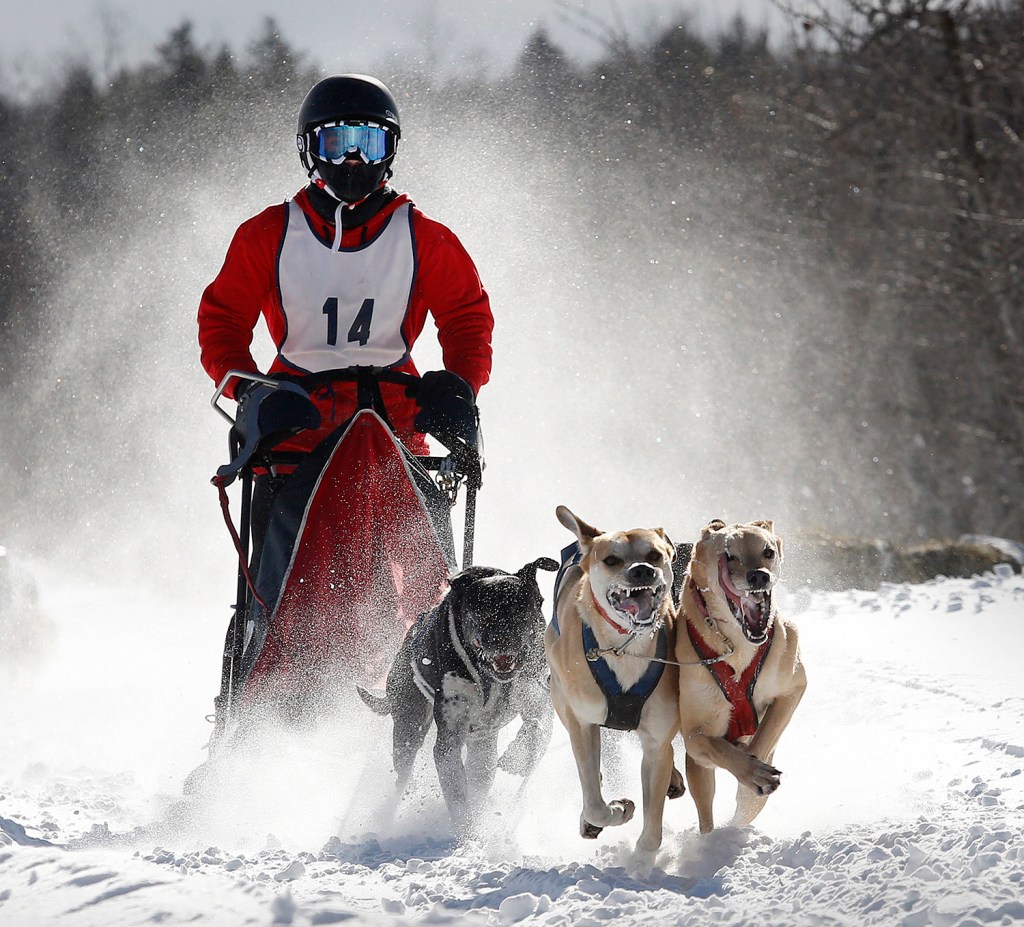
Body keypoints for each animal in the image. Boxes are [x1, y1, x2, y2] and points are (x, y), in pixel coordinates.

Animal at [357, 558, 559, 835]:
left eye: (519, 610)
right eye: (482, 611)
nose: (502, 639)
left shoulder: (537, 696)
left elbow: (539, 731)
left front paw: (517, 756)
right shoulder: (449, 737)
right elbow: (456, 790)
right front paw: (467, 834)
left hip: (482, 744)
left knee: (482, 770)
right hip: (409, 726)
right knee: (404, 773)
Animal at [545, 505, 684, 858]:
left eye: (654, 554)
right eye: (611, 560)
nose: (642, 571)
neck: (626, 648)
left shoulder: (656, 743)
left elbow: (652, 832)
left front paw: (642, 859)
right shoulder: (582, 723)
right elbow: (595, 803)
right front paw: (619, 809)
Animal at [675, 518, 806, 833]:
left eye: (767, 552)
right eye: (730, 556)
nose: (758, 576)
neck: (737, 646)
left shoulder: (792, 689)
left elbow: (763, 739)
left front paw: (754, 772)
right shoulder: (696, 735)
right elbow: (718, 748)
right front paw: (752, 772)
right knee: (705, 809)